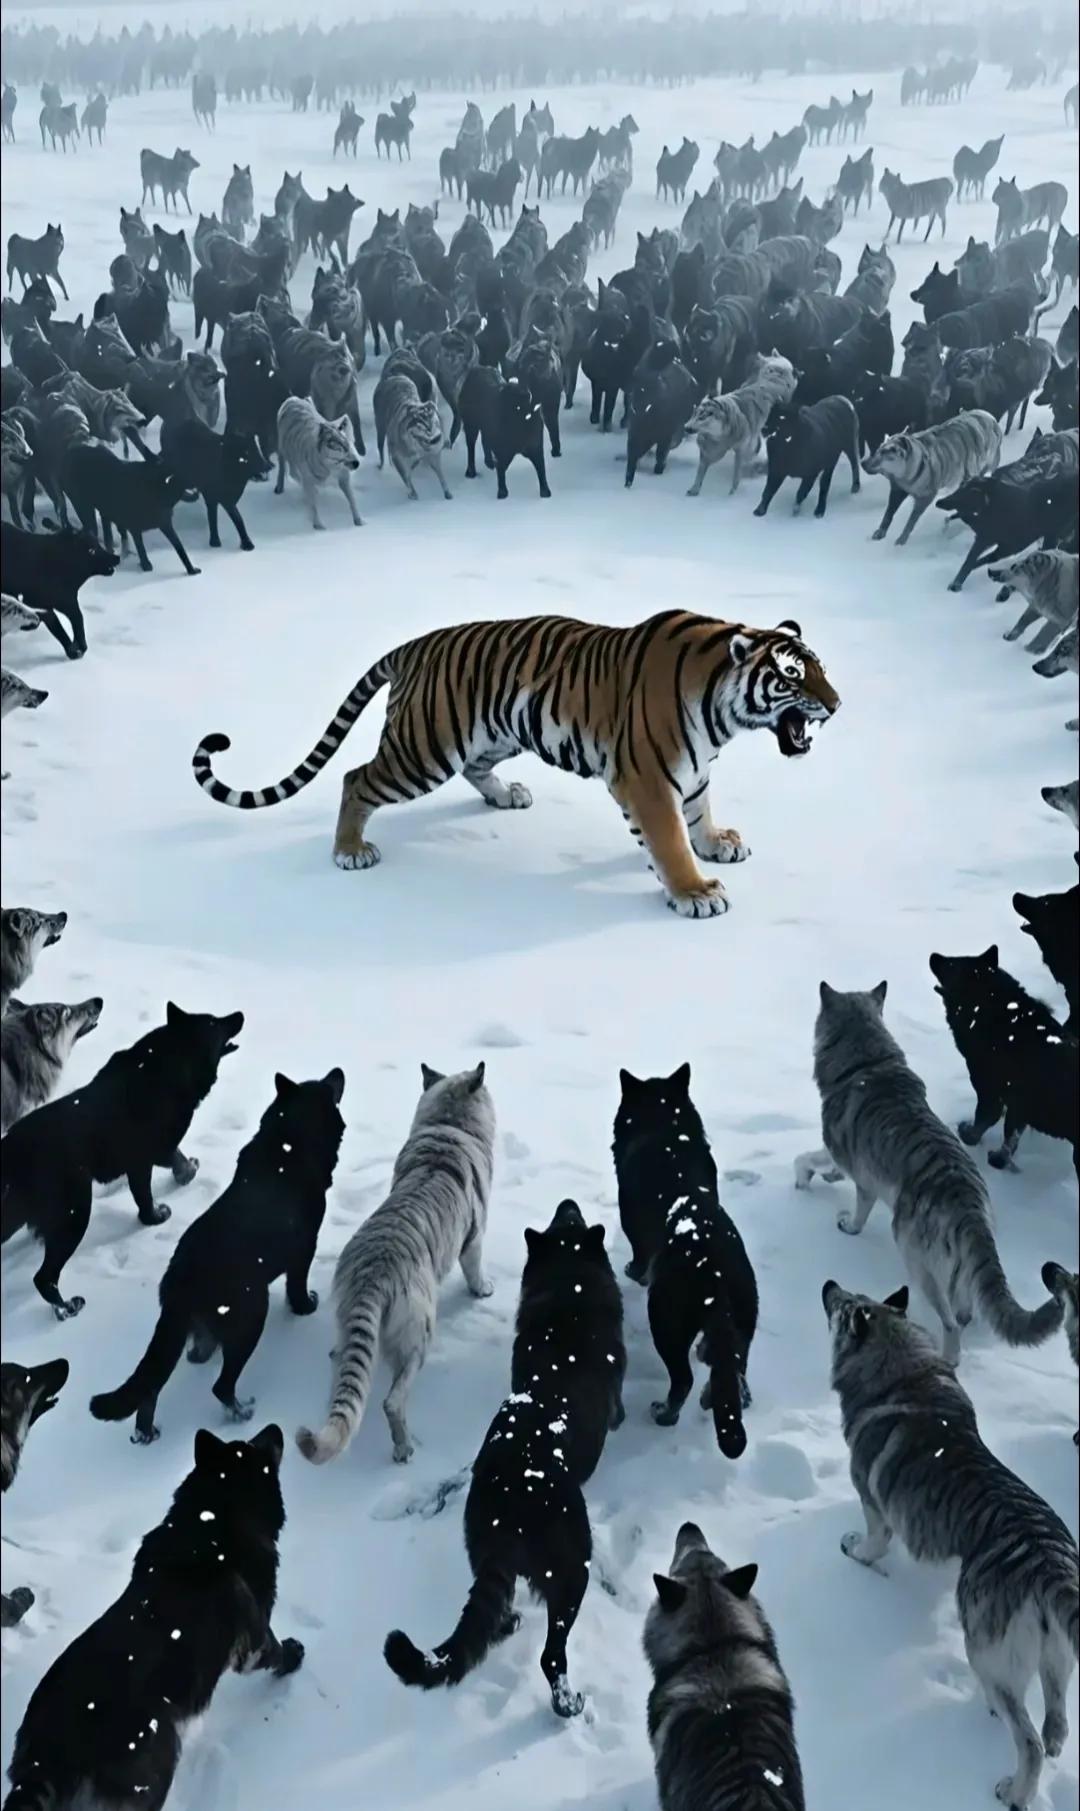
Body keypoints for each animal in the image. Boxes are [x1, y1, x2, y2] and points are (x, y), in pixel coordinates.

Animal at [192, 610, 839, 919]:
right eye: (790, 675)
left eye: (820, 669)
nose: (836, 705)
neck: (720, 713)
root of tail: (414, 645)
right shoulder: (647, 778)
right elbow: (670, 839)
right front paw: (697, 891)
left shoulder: (694, 767)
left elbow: (699, 810)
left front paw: (718, 843)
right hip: (424, 748)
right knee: (357, 778)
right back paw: (350, 851)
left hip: (495, 733)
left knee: (473, 769)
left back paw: (507, 795)